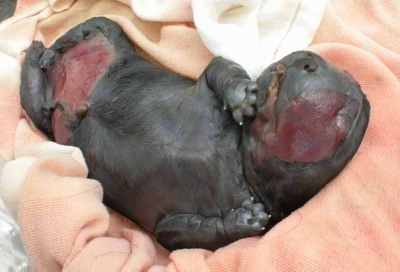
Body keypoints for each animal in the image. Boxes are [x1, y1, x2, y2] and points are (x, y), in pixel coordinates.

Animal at [18, 17, 368, 251]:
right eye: (275, 73)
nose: (306, 58)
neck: (238, 155)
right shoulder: (205, 85)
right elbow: (220, 66)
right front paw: (242, 96)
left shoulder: (168, 221)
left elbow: (176, 234)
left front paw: (245, 221)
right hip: (109, 35)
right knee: (89, 30)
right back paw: (41, 51)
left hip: (51, 118)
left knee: (38, 106)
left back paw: (40, 58)